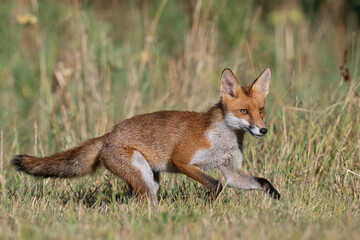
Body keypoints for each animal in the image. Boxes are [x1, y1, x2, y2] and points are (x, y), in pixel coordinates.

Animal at [11, 67, 282, 204]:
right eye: (244, 111)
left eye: (261, 110)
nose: (263, 130)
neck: (222, 139)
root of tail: (109, 134)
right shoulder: (182, 161)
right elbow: (215, 185)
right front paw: (212, 202)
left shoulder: (230, 170)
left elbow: (260, 182)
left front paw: (276, 198)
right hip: (144, 179)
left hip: (150, 181)